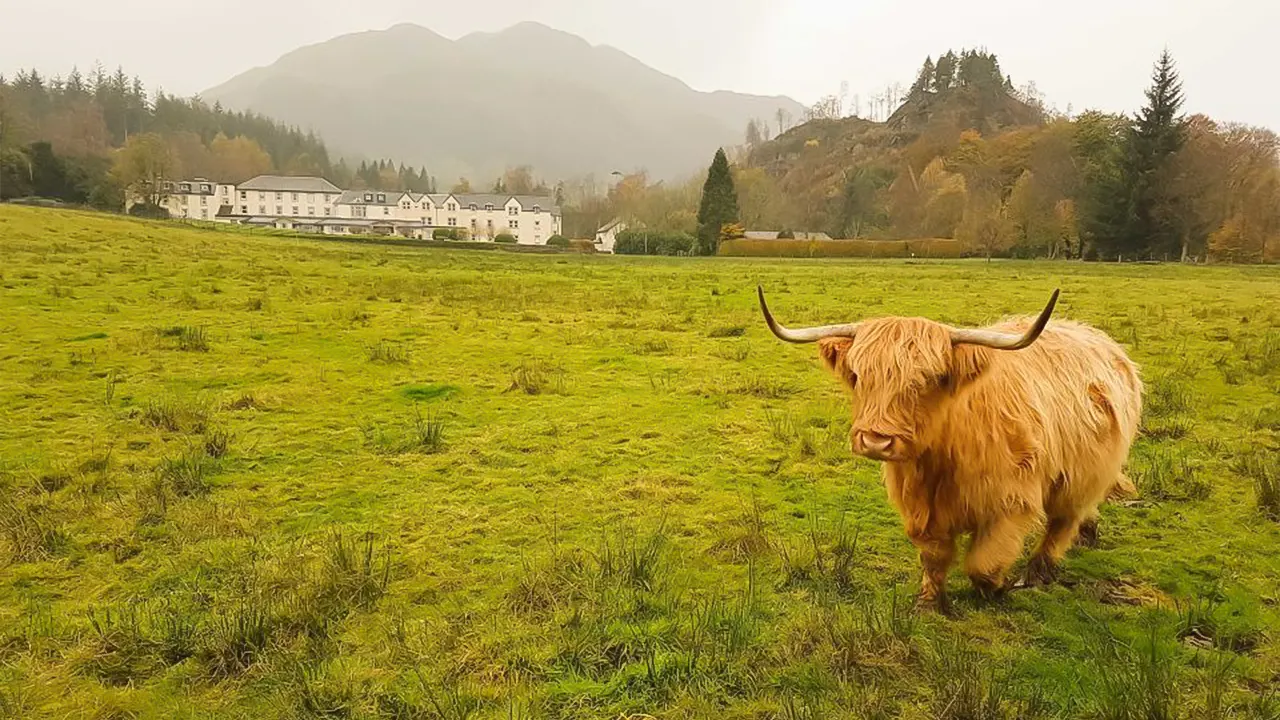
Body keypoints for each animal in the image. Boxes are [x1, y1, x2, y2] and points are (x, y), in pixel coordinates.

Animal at [757, 286, 1141, 609]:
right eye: (857, 375)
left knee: (1063, 522)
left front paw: (996, 588)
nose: (876, 439)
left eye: (929, 379)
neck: (942, 457)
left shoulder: (1013, 502)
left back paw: (1038, 572)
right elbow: (934, 555)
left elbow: (984, 564)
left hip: (1082, 475)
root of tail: (1102, 341)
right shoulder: (920, 507)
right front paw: (929, 602)